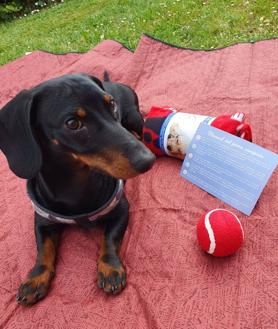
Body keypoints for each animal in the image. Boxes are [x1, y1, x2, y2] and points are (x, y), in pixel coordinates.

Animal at [0, 72, 155, 304]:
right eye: (72, 123)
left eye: (112, 105)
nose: (148, 160)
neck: (75, 186)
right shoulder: (42, 221)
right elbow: (43, 249)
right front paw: (35, 278)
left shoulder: (121, 209)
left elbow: (109, 238)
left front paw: (110, 268)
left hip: (135, 118)